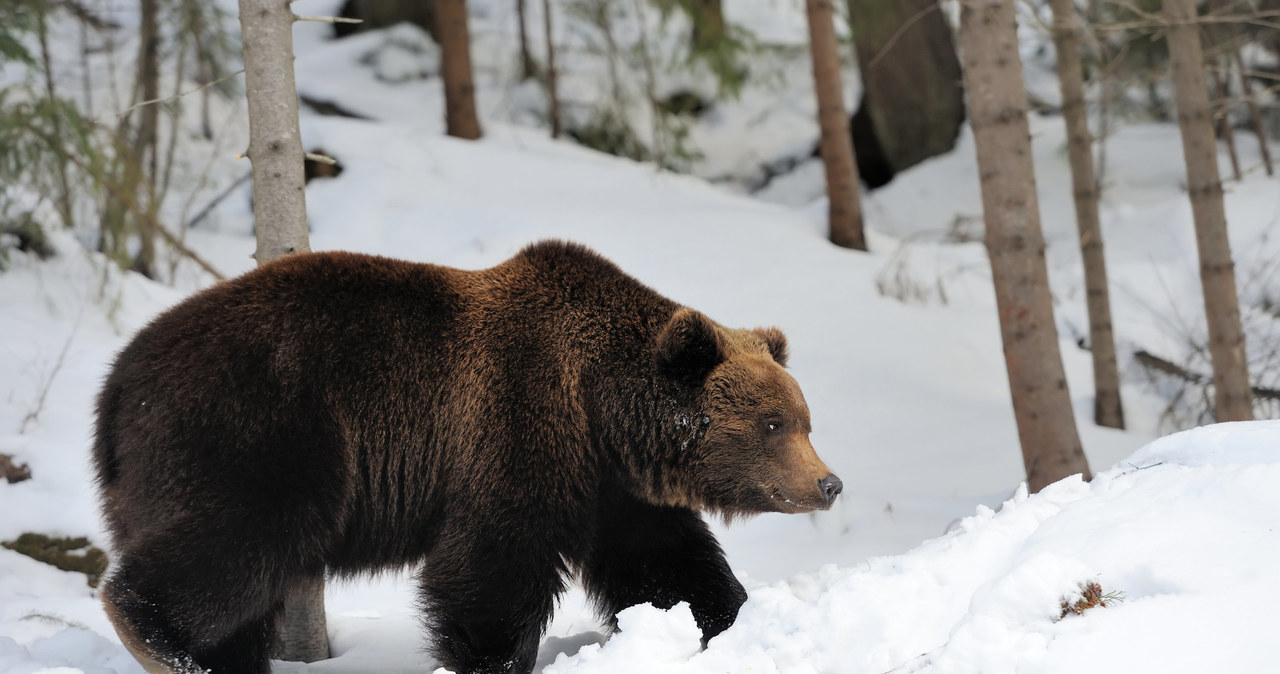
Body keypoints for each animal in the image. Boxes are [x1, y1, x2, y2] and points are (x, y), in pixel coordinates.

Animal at [97, 242, 839, 674]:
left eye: (805, 420)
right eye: (773, 423)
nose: (828, 483)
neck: (600, 409)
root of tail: (116, 385)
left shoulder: (609, 487)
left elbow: (666, 564)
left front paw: (723, 622)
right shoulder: (514, 427)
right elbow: (492, 568)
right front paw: (491, 659)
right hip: (260, 431)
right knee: (236, 545)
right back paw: (161, 639)